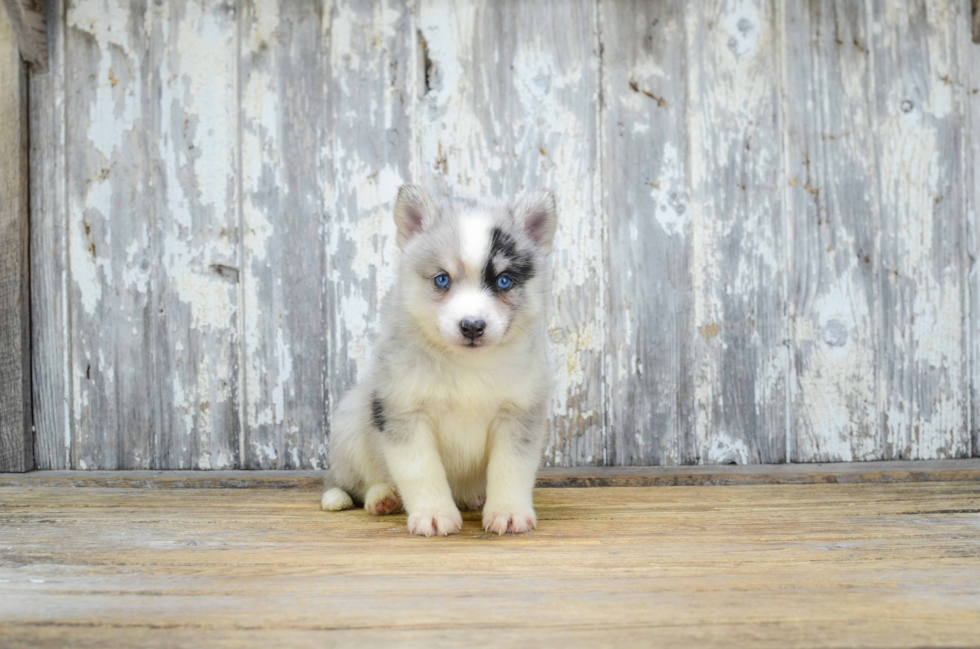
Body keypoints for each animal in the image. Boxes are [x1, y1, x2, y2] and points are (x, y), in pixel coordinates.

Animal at [320, 184, 556, 536]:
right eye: (442, 280)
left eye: (504, 281)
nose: (472, 326)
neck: (467, 365)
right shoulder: (405, 414)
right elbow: (421, 470)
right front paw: (433, 514)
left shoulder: (518, 414)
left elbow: (511, 469)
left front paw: (508, 512)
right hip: (351, 423)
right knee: (356, 483)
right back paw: (381, 497)